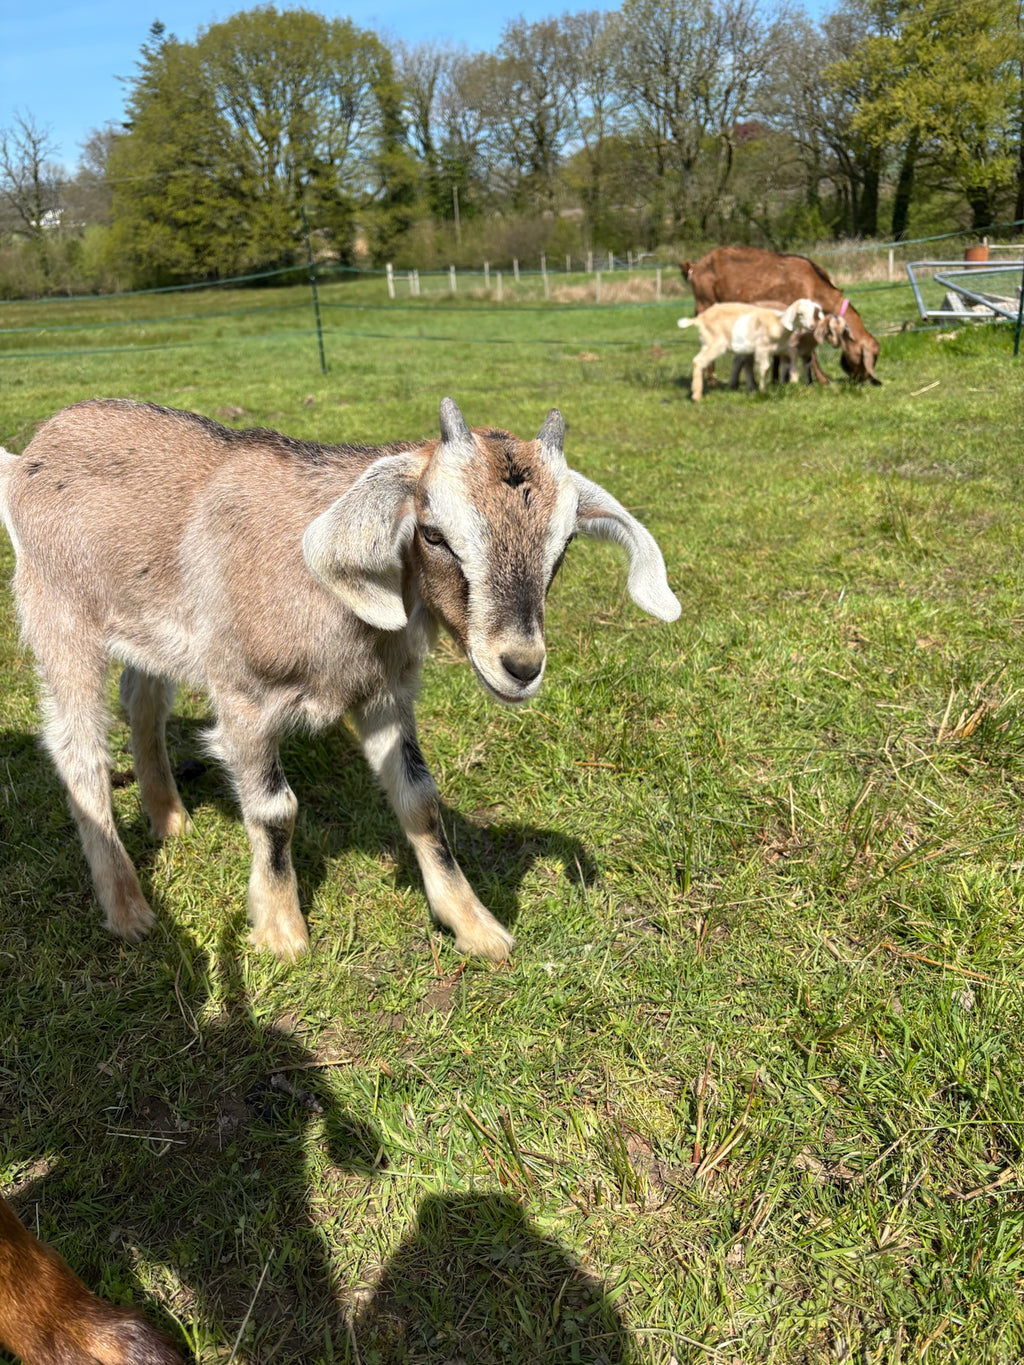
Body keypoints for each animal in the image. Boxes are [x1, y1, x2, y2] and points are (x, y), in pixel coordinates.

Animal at [0, 398, 680, 963]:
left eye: (563, 546)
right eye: (434, 533)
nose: (520, 665)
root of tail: (29, 454)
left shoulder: (383, 696)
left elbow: (420, 798)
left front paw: (476, 925)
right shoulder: (245, 700)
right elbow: (275, 810)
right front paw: (282, 934)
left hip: (147, 629)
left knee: (141, 702)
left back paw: (169, 817)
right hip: (60, 616)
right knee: (78, 750)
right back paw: (129, 909)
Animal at [677, 298, 823, 401]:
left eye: (813, 313)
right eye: (800, 314)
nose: (811, 327)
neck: (777, 324)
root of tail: (699, 318)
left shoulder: (783, 349)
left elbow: (791, 361)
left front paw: (793, 382)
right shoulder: (761, 349)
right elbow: (765, 367)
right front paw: (763, 391)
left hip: (706, 343)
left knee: (697, 360)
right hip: (715, 343)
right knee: (699, 361)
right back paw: (696, 396)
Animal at [678, 246, 881, 385]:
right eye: (870, 357)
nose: (864, 379)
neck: (814, 285)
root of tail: (694, 267)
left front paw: (776, 380)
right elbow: (810, 351)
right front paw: (823, 380)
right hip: (705, 303)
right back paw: (712, 380)